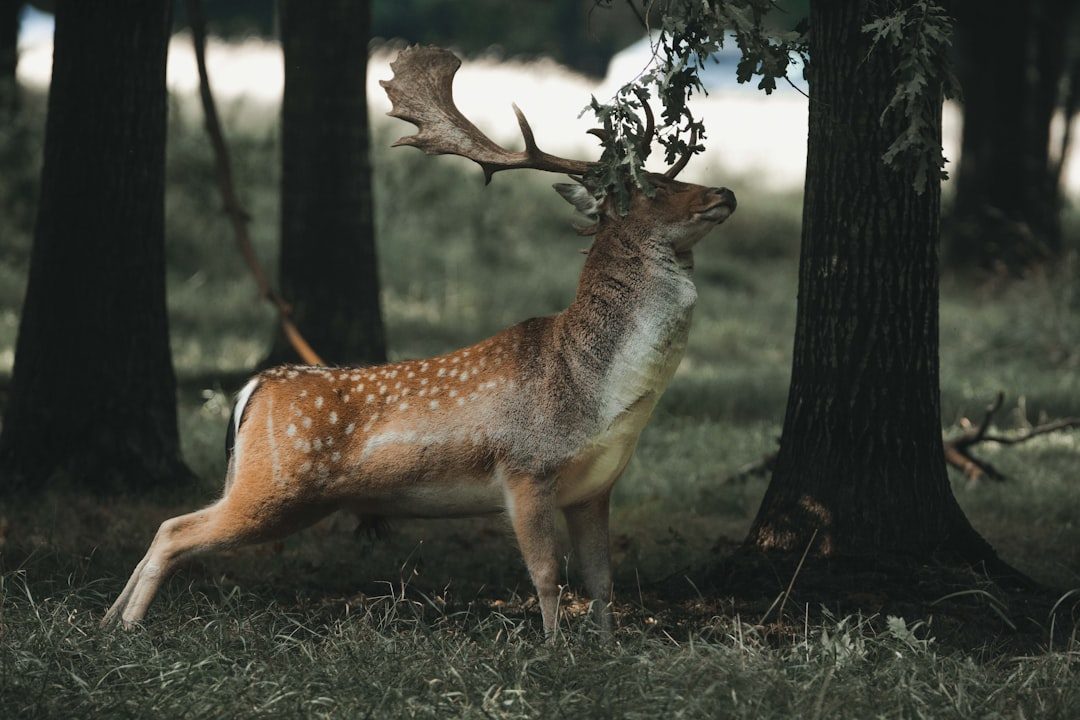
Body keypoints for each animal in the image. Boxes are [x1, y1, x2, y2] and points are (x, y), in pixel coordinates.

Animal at [103, 45, 736, 637]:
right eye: (651, 188)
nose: (724, 193)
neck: (598, 395)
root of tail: (251, 390)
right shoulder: (524, 468)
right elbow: (546, 577)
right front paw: (555, 651)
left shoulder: (594, 488)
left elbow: (602, 583)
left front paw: (604, 648)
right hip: (274, 487)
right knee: (176, 530)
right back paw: (128, 627)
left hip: (256, 483)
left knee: (168, 523)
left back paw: (107, 621)